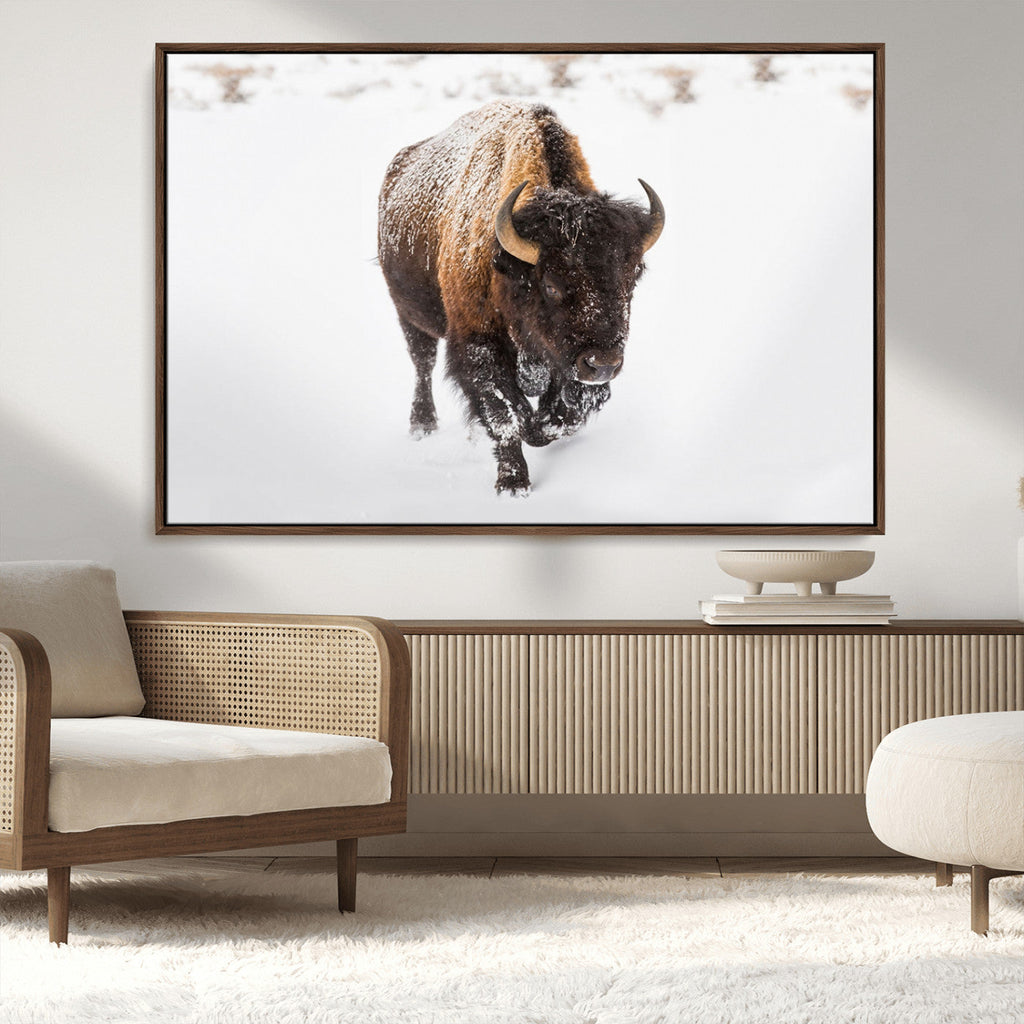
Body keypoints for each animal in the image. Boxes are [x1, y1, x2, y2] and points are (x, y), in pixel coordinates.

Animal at [378, 100, 664, 495]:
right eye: (552, 285)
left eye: (633, 278)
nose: (603, 364)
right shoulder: (479, 345)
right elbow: (506, 416)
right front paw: (513, 484)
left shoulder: (565, 362)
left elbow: (563, 416)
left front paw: (541, 427)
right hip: (409, 314)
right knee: (422, 363)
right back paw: (422, 425)